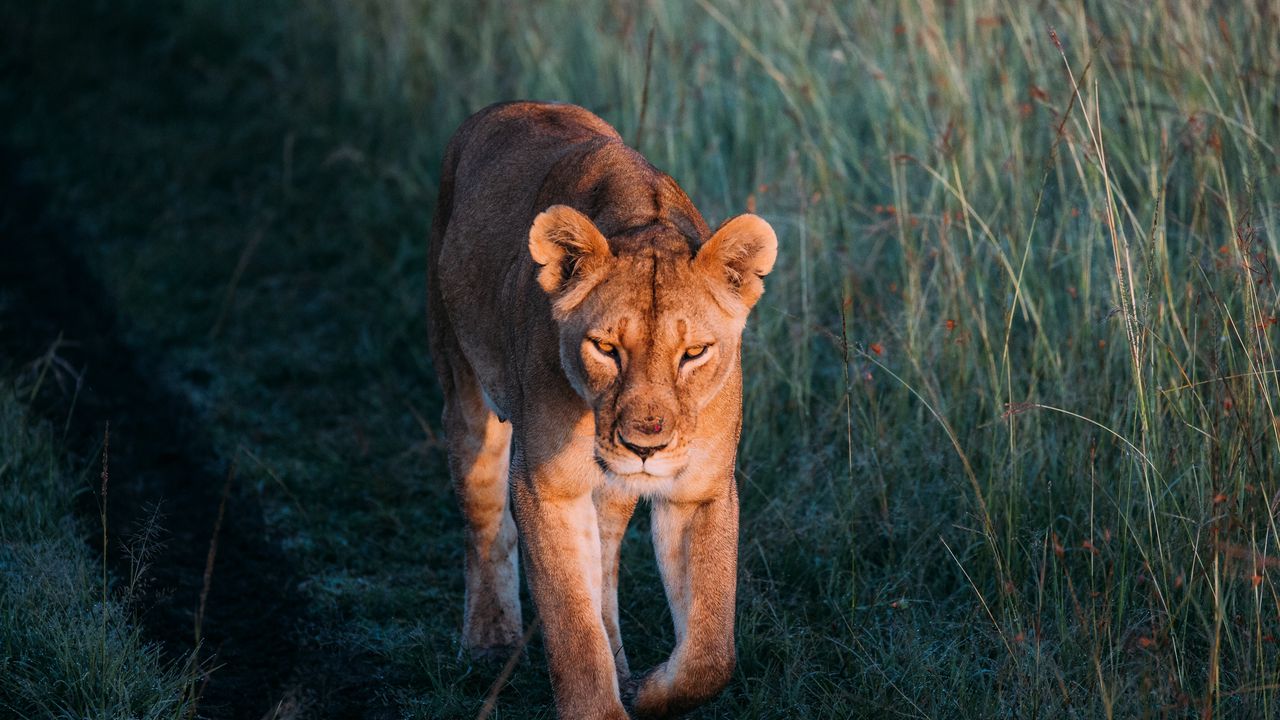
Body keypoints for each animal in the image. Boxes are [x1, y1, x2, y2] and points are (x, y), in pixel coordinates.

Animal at [427, 101, 777, 719]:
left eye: (694, 353)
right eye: (606, 348)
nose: (644, 447)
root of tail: (504, 107)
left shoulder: (700, 490)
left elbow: (711, 651)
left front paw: (647, 690)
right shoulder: (546, 488)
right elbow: (572, 627)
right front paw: (602, 696)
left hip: (612, 492)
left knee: (605, 568)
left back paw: (621, 665)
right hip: (464, 388)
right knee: (485, 519)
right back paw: (490, 640)